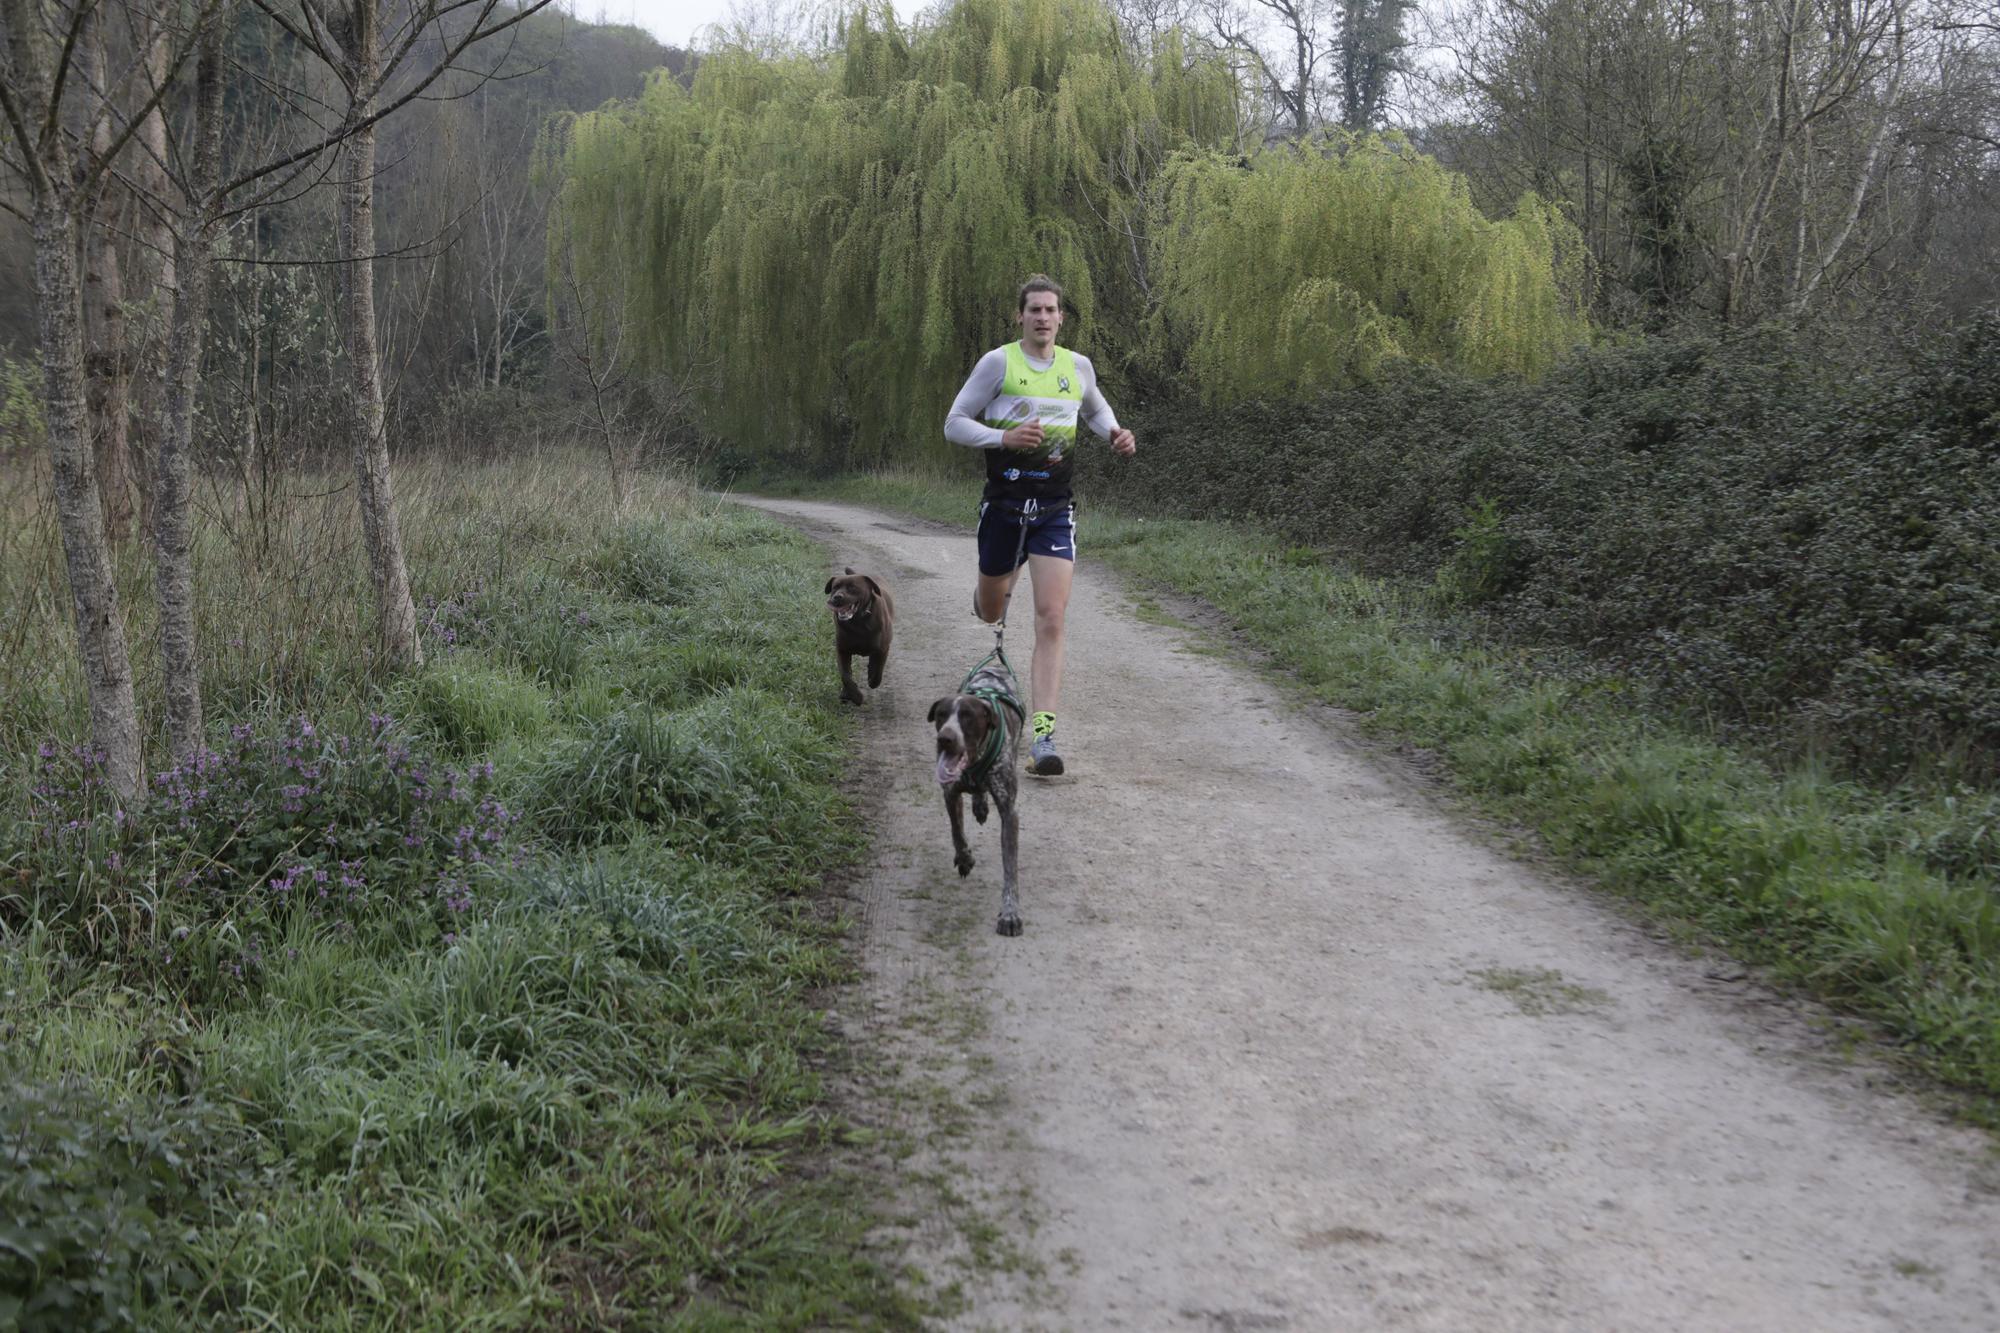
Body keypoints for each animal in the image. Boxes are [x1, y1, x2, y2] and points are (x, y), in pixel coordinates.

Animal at [824, 564, 896, 704]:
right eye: (835, 587)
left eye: (852, 587)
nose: (837, 597)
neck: (858, 622)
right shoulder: (842, 650)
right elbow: (846, 676)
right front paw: (855, 696)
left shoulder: (883, 649)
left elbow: (878, 672)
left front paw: (872, 680)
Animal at [928, 656, 1024, 932]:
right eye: (941, 715)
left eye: (968, 717)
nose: (944, 739)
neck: (974, 763)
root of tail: (997, 661)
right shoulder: (950, 794)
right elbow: (956, 831)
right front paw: (964, 859)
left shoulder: (1009, 813)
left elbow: (1010, 868)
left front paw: (1010, 913)